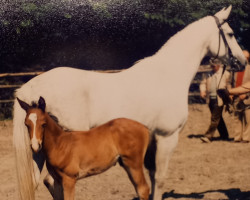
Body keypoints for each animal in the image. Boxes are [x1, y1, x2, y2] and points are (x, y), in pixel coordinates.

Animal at [18, 96, 150, 199]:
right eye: (26, 124)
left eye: (43, 124)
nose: (35, 146)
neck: (60, 145)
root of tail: (144, 127)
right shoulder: (57, 181)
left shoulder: (69, 180)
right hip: (126, 164)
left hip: (133, 163)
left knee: (143, 190)